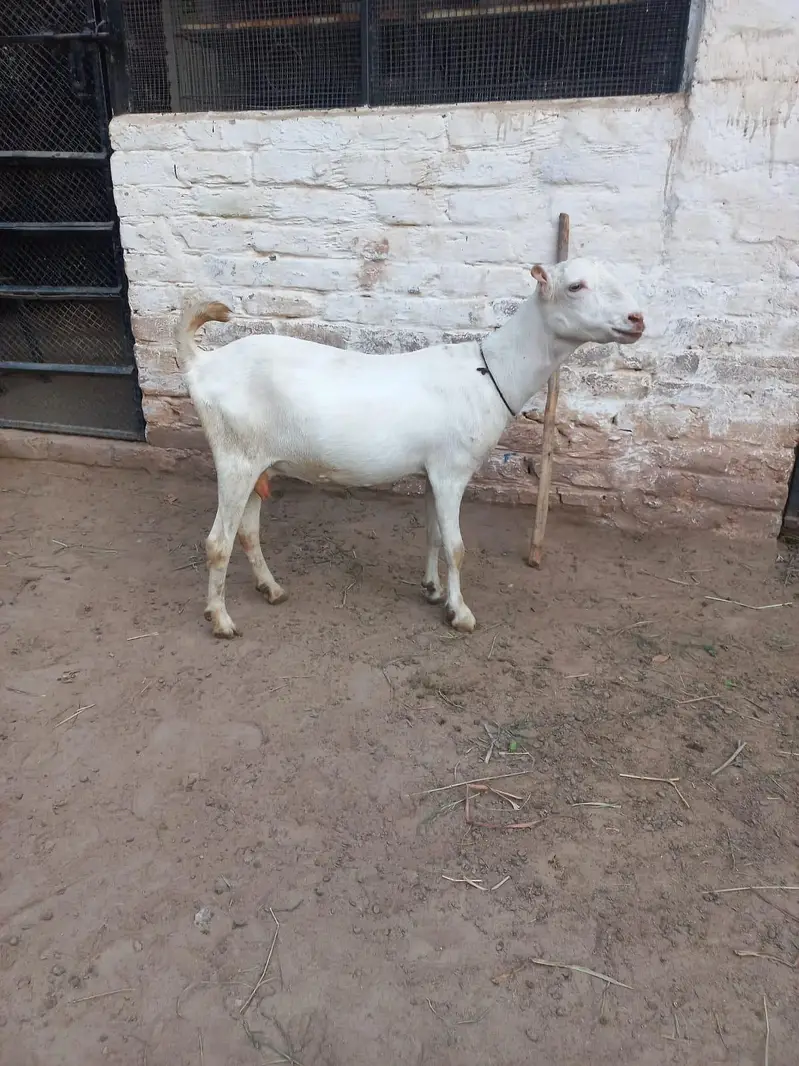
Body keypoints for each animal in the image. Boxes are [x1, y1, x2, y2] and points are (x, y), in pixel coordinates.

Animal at [177, 258, 645, 638]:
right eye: (575, 286)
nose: (637, 318)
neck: (489, 371)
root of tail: (203, 364)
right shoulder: (453, 470)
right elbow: (457, 546)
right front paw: (462, 614)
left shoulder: (433, 471)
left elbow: (434, 534)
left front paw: (433, 590)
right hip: (234, 456)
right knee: (218, 541)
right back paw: (221, 620)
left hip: (259, 460)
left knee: (248, 532)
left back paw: (272, 589)